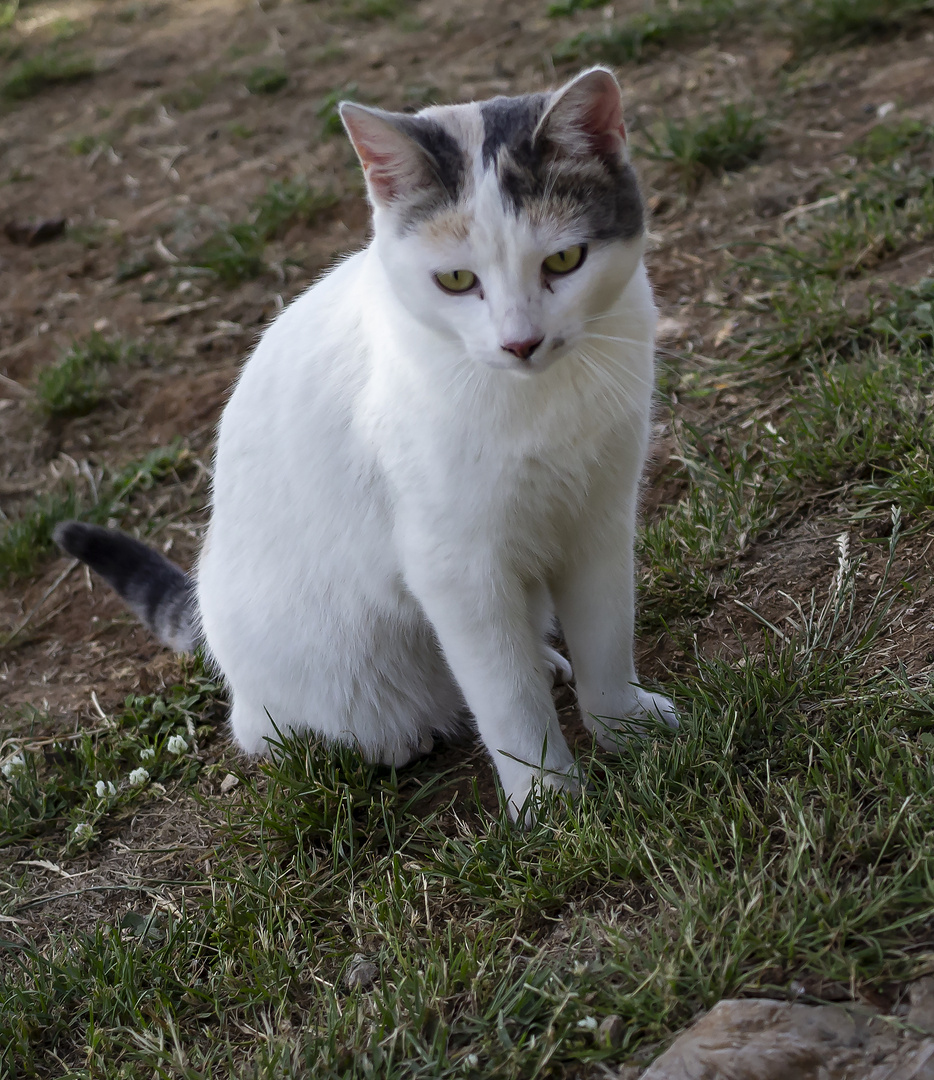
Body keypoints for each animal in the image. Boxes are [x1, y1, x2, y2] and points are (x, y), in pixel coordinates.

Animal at [52, 67, 678, 820]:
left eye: (564, 259)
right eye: (457, 280)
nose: (520, 342)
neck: (538, 400)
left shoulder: (600, 518)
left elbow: (606, 643)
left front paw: (626, 729)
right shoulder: (456, 567)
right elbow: (511, 704)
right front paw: (550, 802)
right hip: (321, 683)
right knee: (276, 730)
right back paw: (391, 739)